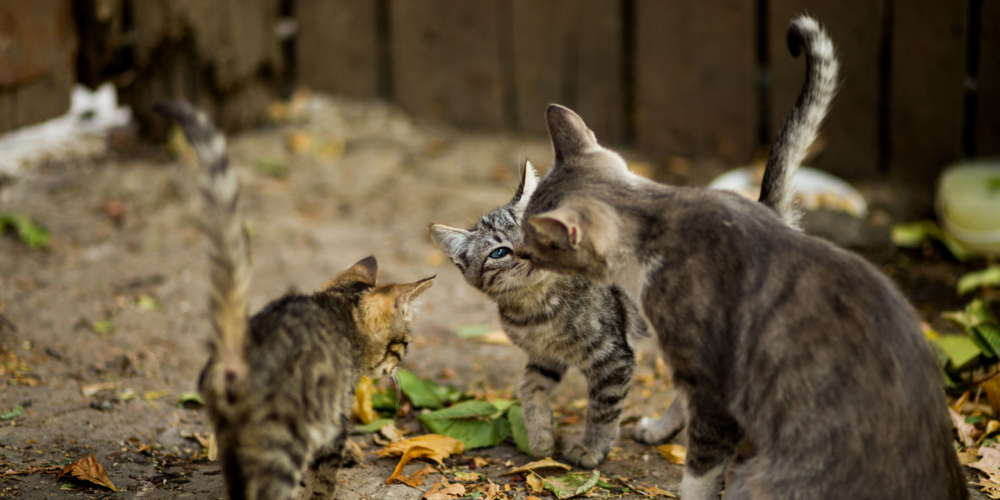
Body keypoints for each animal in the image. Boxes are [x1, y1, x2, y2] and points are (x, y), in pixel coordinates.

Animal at [157, 102, 434, 500]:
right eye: (405, 344)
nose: (399, 367)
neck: (340, 312)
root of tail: (237, 352)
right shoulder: (333, 419)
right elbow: (324, 479)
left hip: (232, 440)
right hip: (282, 443)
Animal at [430, 165, 648, 468]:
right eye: (499, 252)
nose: (528, 251)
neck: (537, 309)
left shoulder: (613, 357)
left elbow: (603, 408)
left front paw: (592, 447)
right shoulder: (544, 356)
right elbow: (528, 386)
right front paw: (540, 435)